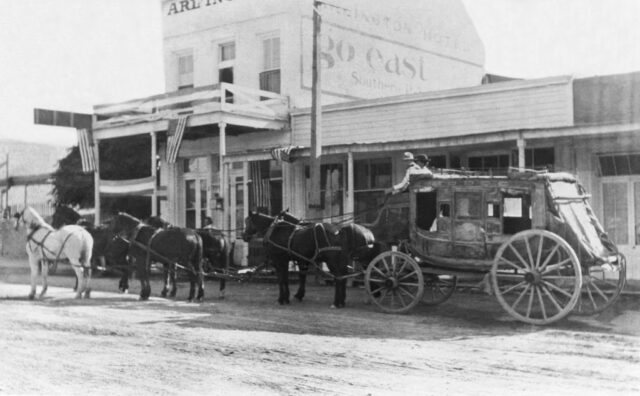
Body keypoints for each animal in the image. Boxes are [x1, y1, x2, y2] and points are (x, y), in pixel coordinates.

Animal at [242, 212, 378, 308]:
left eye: (247, 222)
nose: (244, 236)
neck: (276, 230)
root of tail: (340, 231)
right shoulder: (291, 260)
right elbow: (289, 278)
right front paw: (289, 297)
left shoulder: (279, 260)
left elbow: (282, 279)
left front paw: (282, 299)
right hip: (341, 260)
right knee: (342, 277)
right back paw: (341, 301)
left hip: (332, 261)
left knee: (339, 278)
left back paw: (336, 302)